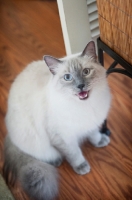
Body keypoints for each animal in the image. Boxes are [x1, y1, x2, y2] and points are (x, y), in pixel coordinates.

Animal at [3, 41, 111, 200]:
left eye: (86, 72)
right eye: (67, 77)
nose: (80, 86)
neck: (84, 106)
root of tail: (9, 135)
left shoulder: (91, 123)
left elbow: (94, 134)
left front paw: (100, 142)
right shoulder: (63, 137)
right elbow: (74, 154)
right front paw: (82, 167)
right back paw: (56, 161)